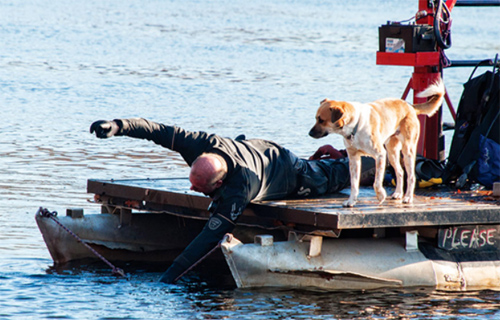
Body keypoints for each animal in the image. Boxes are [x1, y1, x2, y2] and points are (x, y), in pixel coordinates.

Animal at [308, 79, 446, 206]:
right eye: (315, 118)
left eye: (321, 120)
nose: (309, 133)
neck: (354, 127)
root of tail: (410, 106)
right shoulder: (353, 159)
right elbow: (354, 183)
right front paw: (351, 201)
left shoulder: (380, 155)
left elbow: (377, 181)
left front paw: (380, 195)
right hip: (392, 152)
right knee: (400, 172)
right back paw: (398, 193)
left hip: (407, 151)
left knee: (411, 176)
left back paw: (407, 197)